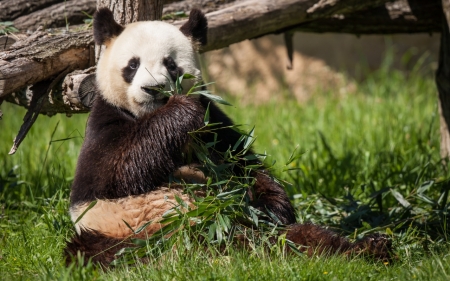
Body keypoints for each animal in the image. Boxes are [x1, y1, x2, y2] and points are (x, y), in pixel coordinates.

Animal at [64, 6, 394, 264]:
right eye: (132, 65)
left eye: (171, 65)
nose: (154, 89)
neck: (147, 114)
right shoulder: (104, 123)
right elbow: (116, 169)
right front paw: (180, 111)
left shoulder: (215, 126)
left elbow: (247, 165)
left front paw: (271, 206)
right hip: (118, 233)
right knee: (100, 254)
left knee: (304, 238)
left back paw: (370, 249)